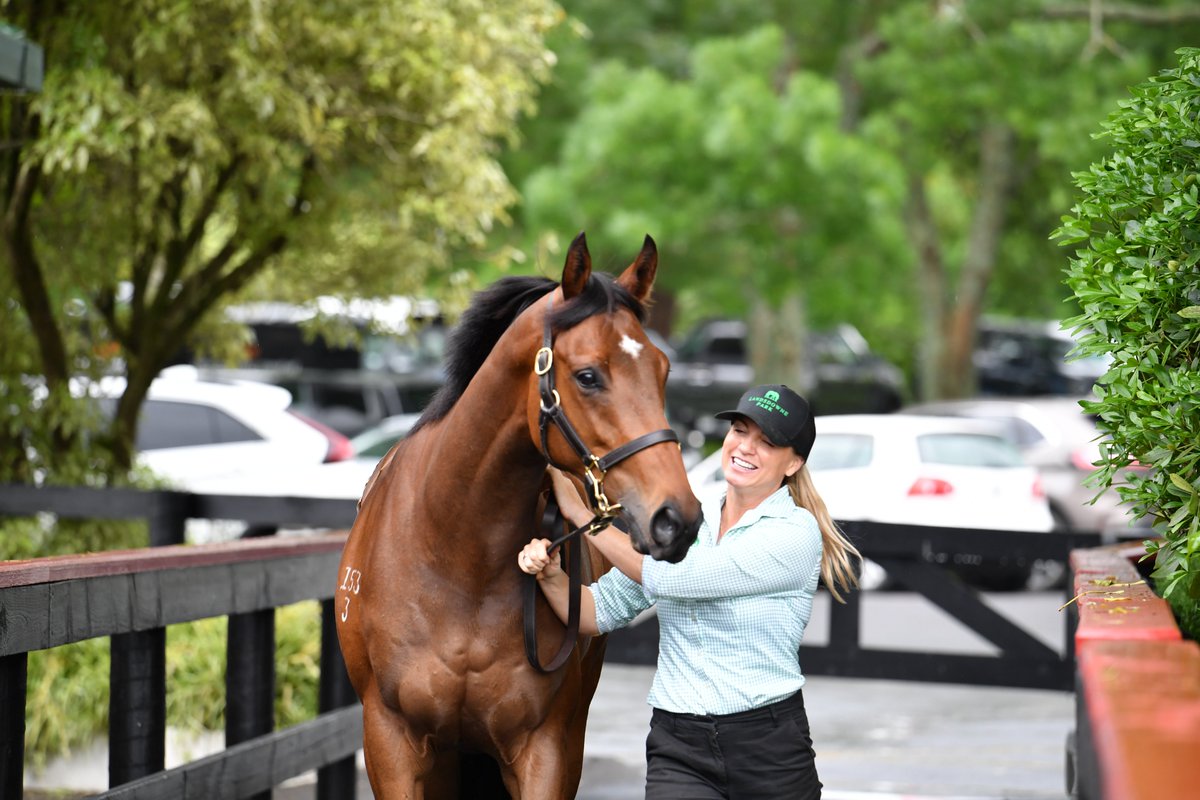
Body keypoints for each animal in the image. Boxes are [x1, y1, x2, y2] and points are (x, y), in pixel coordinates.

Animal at [335, 232, 703, 799]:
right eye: (588, 376)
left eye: (663, 370)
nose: (676, 518)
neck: (457, 556)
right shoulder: (391, 741)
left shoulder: (546, 748)